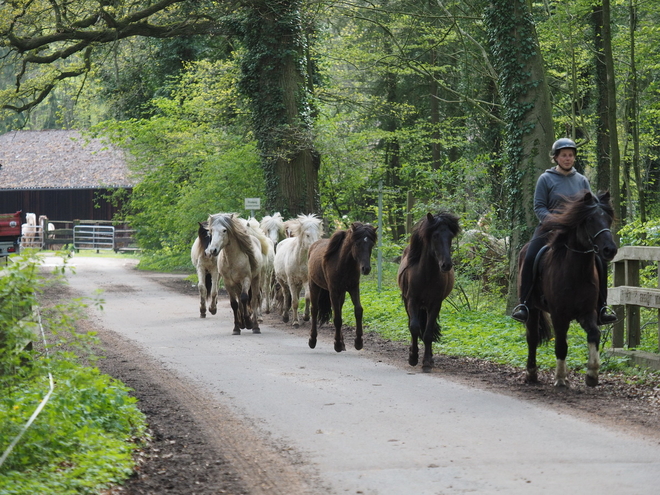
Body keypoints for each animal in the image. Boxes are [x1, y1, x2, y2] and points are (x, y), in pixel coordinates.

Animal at [306, 223, 374, 354]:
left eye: (371, 245)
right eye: (357, 244)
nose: (366, 269)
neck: (343, 263)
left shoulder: (353, 288)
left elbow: (358, 310)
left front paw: (358, 342)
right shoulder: (333, 291)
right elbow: (337, 318)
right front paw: (337, 344)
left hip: (341, 293)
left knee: (339, 310)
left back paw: (342, 343)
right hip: (314, 286)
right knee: (314, 310)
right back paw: (312, 340)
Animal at [398, 212, 458, 372]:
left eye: (451, 236)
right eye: (435, 235)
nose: (446, 265)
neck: (426, 275)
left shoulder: (435, 304)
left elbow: (428, 333)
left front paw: (426, 362)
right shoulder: (412, 301)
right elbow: (414, 327)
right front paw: (413, 357)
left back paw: (429, 357)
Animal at [520, 192, 620, 390]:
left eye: (608, 219)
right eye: (589, 219)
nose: (610, 250)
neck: (576, 273)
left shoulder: (587, 312)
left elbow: (594, 335)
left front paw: (592, 375)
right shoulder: (559, 315)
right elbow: (560, 345)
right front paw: (560, 378)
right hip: (532, 309)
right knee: (532, 338)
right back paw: (532, 373)